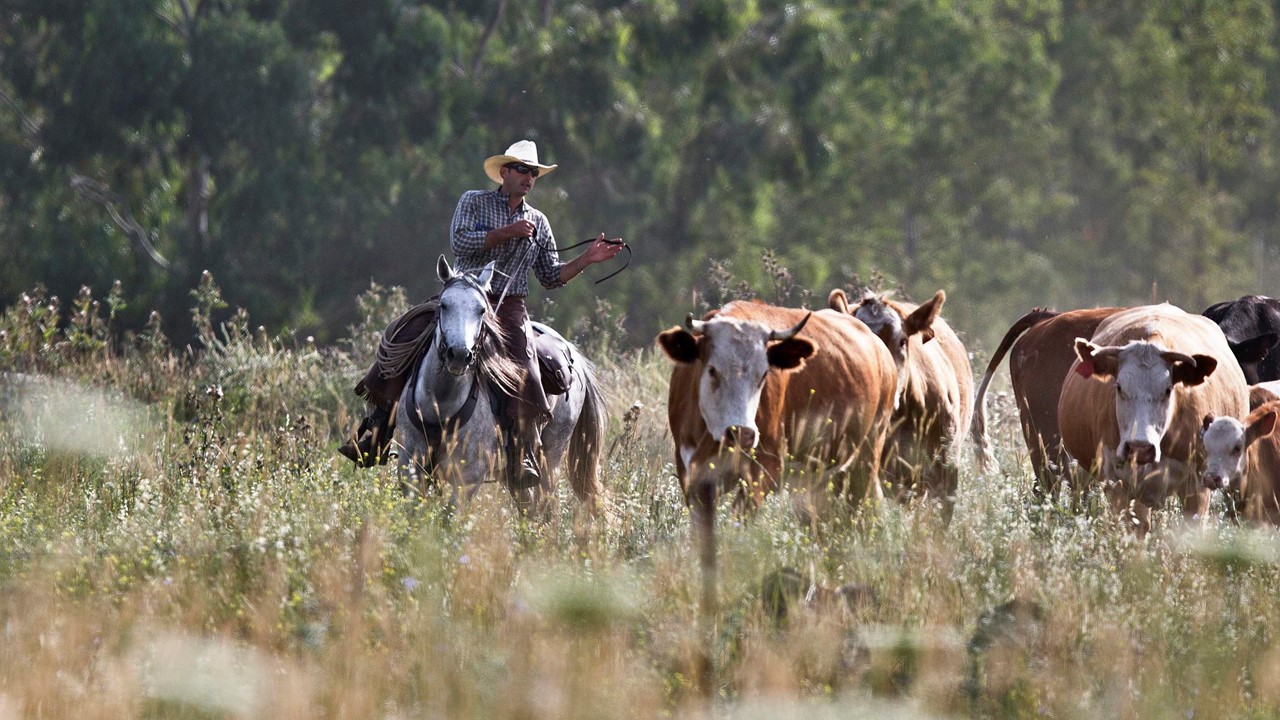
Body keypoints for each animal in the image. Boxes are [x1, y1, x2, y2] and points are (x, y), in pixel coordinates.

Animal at [655, 299, 896, 507]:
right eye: (712, 370)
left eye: (764, 374)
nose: (742, 433)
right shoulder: (689, 473)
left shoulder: (764, 469)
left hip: (867, 455)